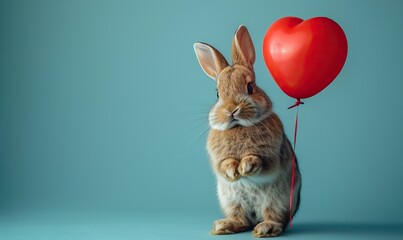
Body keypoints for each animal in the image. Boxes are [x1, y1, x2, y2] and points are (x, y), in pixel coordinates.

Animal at [194, 24, 302, 238]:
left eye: (250, 87)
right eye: (217, 94)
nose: (231, 109)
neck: (239, 127)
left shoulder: (273, 156)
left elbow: (261, 161)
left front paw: (246, 166)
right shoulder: (217, 160)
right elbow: (223, 165)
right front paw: (233, 171)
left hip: (279, 201)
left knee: (273, 217)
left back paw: (266, 228)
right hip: (231, 202)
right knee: (242, 220)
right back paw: (224, 226)